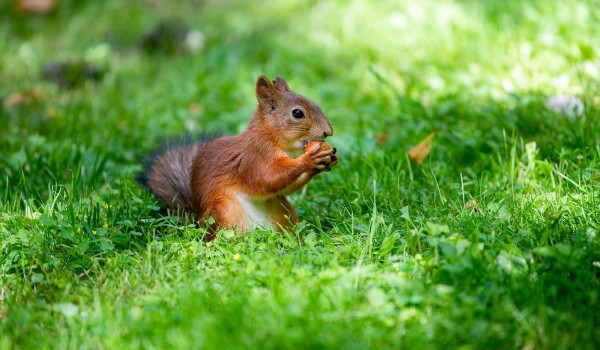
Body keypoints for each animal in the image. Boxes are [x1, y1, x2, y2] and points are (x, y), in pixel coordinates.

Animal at [138, 75, 340, 237]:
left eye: (317, 105)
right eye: (297, 113)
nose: (328, 131)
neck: (270, 137)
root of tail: (199, 224)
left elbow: (283, 188)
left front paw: (324, 162)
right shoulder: (254, 158)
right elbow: (267, 180)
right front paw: (309, 160)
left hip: (280, 208)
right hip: (225, 211)